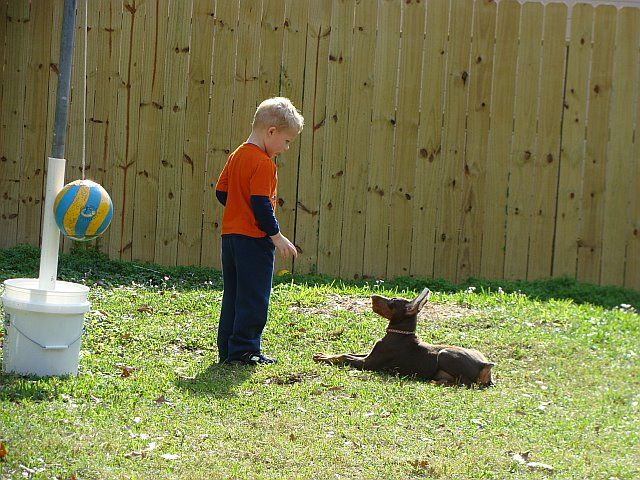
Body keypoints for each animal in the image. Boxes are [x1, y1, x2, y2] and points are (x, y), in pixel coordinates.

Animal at [312, 288, 492, 386]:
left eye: (392, 303)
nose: (372, 296)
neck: (399, 334)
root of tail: (485, 365)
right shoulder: (369, 354)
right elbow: (347, 353)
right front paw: (324, 355)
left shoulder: (368, 363)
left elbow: (344, 357)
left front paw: (322, 358)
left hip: (445, 354)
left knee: (466, 383)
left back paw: (439, 383)